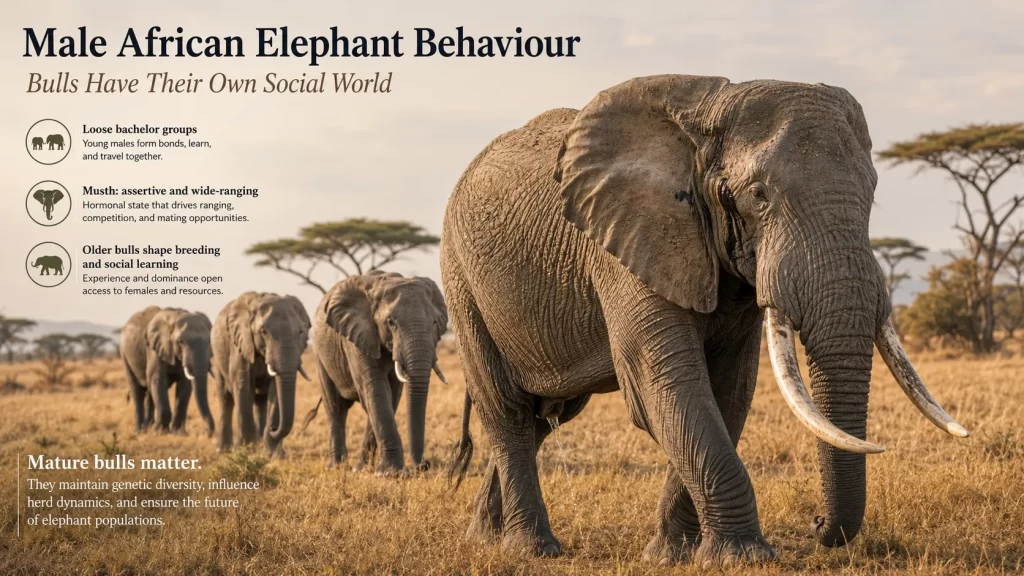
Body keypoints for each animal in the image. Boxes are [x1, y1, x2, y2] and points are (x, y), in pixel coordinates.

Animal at [211, 291, 311, 456]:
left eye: (300, 332)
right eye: (264, 332)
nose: (273, 428)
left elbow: (276, 390)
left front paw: (275, 455)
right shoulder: (241, 345)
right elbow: (243, 387)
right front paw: (245, 451)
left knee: (260, 401)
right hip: (217, 358)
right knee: (225, 398)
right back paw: (223, 450)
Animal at [307, 271, 449, 475]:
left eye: (434, 322)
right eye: (391, 323)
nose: (424, 465)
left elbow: (392, 395)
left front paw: (381, 471)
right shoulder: (358, 336)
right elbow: (376, 389)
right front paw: (392, 474)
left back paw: (359, 468)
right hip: (320, 355)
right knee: (336, 407)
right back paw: (337, 467)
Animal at [441, 75, 969, 566]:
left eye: (872, 193)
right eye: (759, 194)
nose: (817, 522)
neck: (707, 111)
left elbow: (728, 389)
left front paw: (671, 556)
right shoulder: (629, 241)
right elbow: (666, 386)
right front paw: (744, 558)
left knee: (544, 417)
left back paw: (485, 537)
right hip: (462, 281)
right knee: (508, 410)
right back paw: (532, 549)